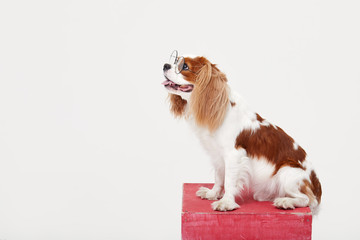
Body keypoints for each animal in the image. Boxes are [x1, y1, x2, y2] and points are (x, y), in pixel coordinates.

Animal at [162, 50, 322, 212]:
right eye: (174, 61)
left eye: (185, 67)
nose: (165, 65)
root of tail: (316, 184)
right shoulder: (217, 155)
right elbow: (219, 177)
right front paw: (213, 194)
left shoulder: (233, 154)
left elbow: (229, 181)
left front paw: (226, 202)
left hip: (287, 173)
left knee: (307, 199)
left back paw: (285, 201)